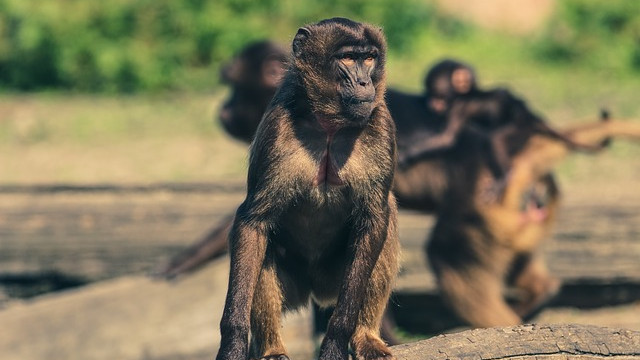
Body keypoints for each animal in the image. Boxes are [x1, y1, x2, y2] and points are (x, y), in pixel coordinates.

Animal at [218, 17, 398, 360]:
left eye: (369, 58)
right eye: (348, 58)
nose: (365, 83)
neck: (329, 125)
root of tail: (316, 290)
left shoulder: (381, 123)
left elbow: (374, 218)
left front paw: (336, 342)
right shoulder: (276, 127)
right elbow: (253, 222)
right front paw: (232, 345)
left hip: (335, 279)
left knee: (386, 220)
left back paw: (366, 337)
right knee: (262, 245)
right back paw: (272, 348)